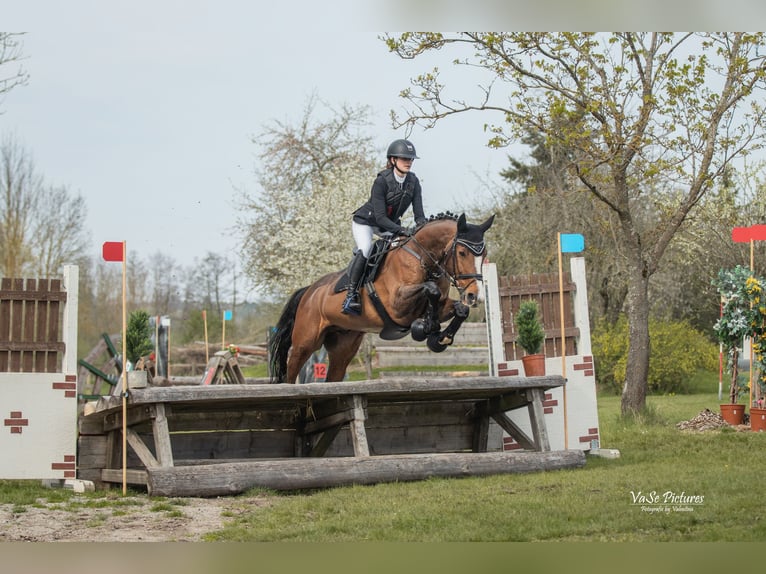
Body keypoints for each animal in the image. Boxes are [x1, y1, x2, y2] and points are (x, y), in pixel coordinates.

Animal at [269, 212, 495, 384]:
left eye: (484, 254)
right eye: (462, 252)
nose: (474, 296)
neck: (423, 258)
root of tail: (309, 291)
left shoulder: (441, 305)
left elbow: (460, 309)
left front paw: (440, 338)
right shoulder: (398, 306)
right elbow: (431, 290)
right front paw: (425, 327)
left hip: (343, 347)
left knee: (334, 375)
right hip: (305, 342)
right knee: (291, 372)